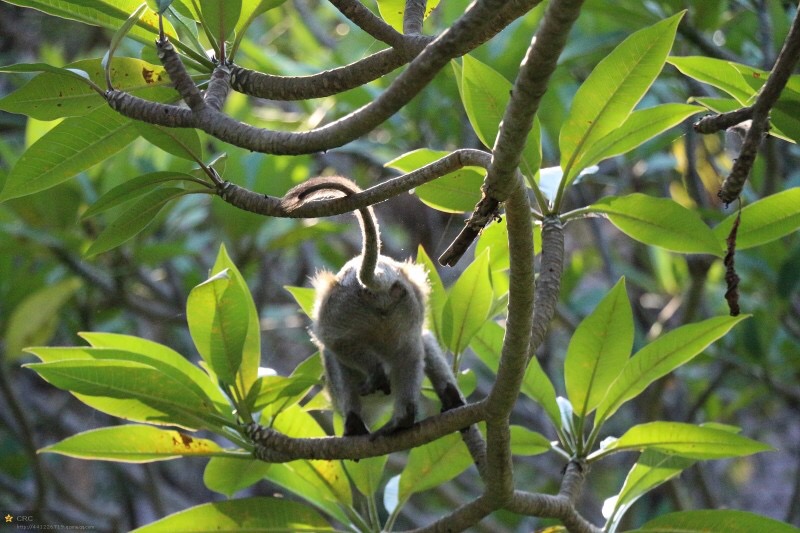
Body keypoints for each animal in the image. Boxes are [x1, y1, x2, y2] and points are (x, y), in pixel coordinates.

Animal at [280, 177, 462, 434]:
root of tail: (381, 277)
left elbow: (335, 347)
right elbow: (423, 342)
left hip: (341, 307)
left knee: (332, 346)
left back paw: (356, 419)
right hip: (405, 303)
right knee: (412, 347)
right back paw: (411, 414)